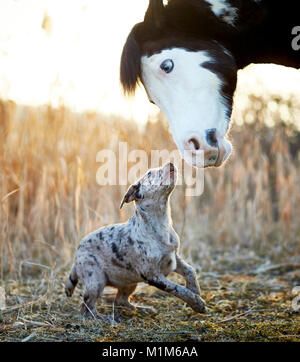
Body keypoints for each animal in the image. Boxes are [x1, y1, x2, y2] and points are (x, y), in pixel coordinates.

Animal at [65, 163, 206, 318]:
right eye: (150, 173)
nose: (170, 163)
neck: (160, 223)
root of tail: (76, 257)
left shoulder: (173, 257)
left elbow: (190, 271)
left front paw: (195, 291)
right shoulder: (153, 276)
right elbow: (177, 288)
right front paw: (196, 303)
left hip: (129, 281)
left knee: (120, 300)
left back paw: (143, 309)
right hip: (96, 280)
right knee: (86, 308)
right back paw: (105, 318)